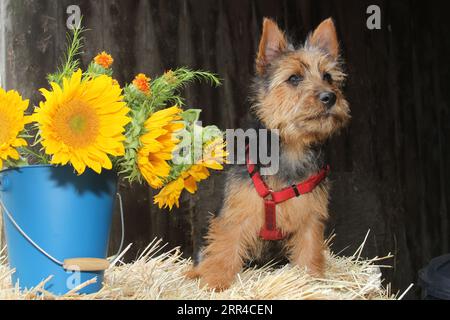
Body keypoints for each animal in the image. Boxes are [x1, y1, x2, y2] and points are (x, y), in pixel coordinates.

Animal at [186, 18, 352, 292]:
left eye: (328, 77)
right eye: (294, 78)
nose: (330, 97)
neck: (292, 148)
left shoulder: (309, 219)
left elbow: (309, 251)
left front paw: (310, 281)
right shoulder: (235, 215)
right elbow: (223, 251)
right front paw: (215, 284)